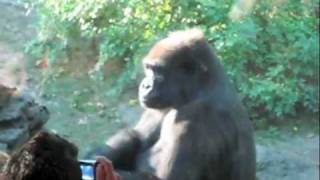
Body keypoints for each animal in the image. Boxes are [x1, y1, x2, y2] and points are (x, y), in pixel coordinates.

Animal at [88, 28, 258, 179]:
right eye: (147, 68)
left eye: (157, 70)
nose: (145, 85)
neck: (201, 87)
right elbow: (137, 137)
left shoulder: (195, 117)